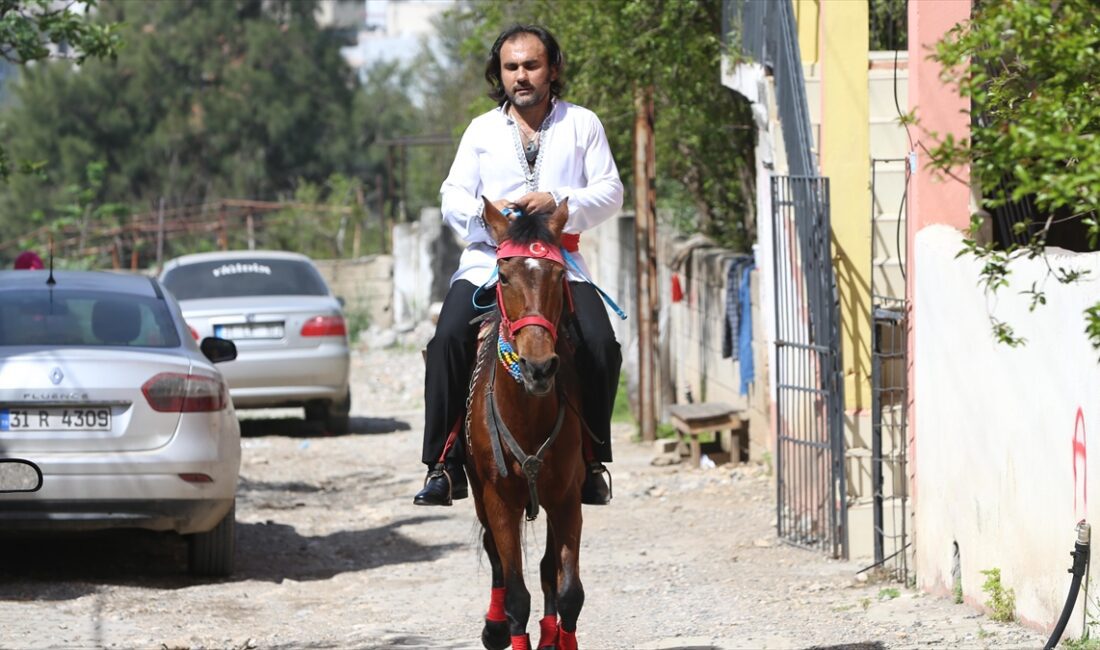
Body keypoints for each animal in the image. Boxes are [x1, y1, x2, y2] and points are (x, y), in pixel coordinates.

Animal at [466, 197, 589, 650]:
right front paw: (503, 626)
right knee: (497, 557)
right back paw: (494, 626)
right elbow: (517, 593)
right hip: (479, 493)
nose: (538, 368)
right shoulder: (499, 498)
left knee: (548, 567)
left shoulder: (567, 496)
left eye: (559, 275)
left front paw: (559, 639)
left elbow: (569, 589)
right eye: (503, 276)